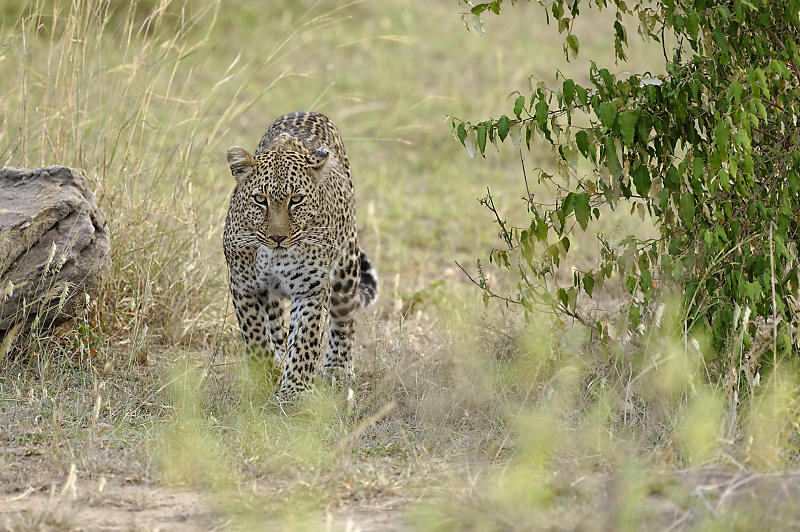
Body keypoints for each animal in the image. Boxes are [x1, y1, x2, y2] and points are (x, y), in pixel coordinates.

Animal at [222, 111, 378, 400]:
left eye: (296, 200)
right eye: (260, 199)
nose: (278, 237)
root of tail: (309, 112)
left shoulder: (310, 288)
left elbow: (305, 339)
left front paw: (294, 391)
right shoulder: (244, 285)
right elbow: (256, 333)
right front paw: (265, 373)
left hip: (346, 265)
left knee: (343, 319)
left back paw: (338, 369)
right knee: (275, 324)